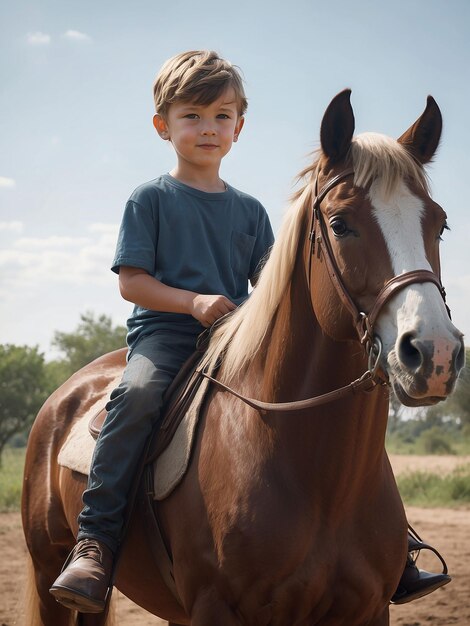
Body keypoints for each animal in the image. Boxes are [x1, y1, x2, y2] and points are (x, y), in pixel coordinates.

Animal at [21, 89, 462, 624]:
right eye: (340, 225)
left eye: (439, 225)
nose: (434, 353)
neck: (318, 480)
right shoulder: (216, 607)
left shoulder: (369, 610)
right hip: (47, 572)